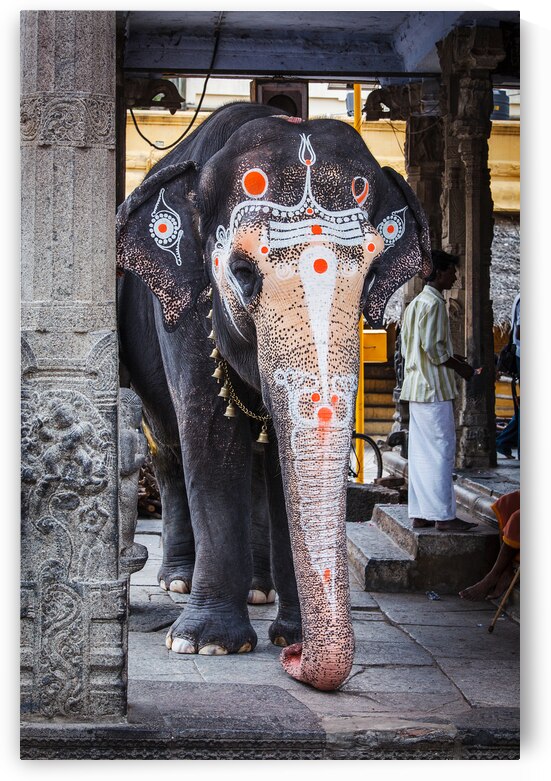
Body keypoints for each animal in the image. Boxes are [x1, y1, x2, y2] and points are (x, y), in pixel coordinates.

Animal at [117, 101, 431, 691]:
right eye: (242, 272)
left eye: (372, 274)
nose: (297, 663)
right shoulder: (188, 308)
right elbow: (211, 440)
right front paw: (205, 644)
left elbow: (281, 467)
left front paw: (289, 637)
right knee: (168, 445)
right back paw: (177, 582)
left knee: (260, 463)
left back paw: (258, 591)